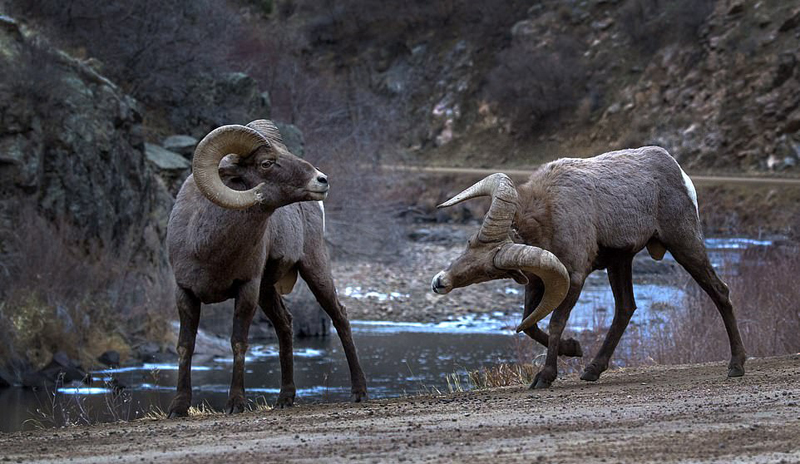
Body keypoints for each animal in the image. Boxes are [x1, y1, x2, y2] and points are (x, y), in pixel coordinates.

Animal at [169, 120, 368, 416]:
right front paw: (179, 407)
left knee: (339, 317)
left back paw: (359, 392)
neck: (209, 246)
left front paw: (236, 404)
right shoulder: (185, 293)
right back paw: (284, 398)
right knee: (285, 324)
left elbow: (238, 342)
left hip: (313, 269)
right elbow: (185, 346)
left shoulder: (247, 289)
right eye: (266, 163)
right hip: (268, 291)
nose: (322, 180)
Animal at [428, 147, 748, 390]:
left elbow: (555, 322)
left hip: (684, 245)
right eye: (469, 244)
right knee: (625, 308)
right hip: (621, 263)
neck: (549, 213)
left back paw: (736, 366)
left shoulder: (573, 278)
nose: (440, 282)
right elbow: (529, 324)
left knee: (720, 292)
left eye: (490, 270)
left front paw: (545, 377)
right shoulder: (539, 283)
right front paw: (574, 348)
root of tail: (679, 173)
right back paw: (592, 369)